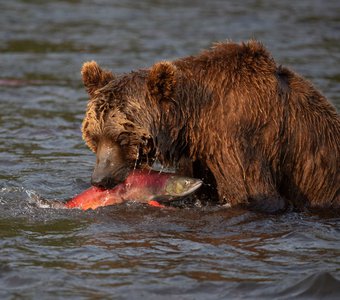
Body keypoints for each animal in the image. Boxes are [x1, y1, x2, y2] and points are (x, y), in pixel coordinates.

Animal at [80, 40, 340, 213]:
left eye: (121, 137)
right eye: (94, 137)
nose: (100, 180)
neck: (195, 119)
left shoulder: (238, 141)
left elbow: (254, 193)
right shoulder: (198, 153)